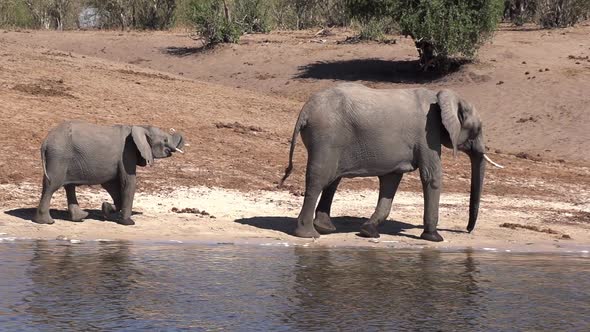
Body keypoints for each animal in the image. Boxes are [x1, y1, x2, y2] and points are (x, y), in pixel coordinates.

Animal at [33, 120, 185, 227]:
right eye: (165, 140)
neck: (140, 127)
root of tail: (45, 142)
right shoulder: (126, 153)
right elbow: (128, 182)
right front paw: (128, 223)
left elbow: (111, 185)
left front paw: (105, 208)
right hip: (59, 156)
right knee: (52, 185)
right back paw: (47, 222)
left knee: (66, 186)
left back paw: (81, 217)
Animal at [282, 82, 504, 243]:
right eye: (477, 129)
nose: (467, 230)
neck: (441, 97)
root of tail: (305, 110)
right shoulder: (428, 135)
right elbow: (431, 177)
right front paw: (434, 238)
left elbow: (391, 181)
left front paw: (368, 232)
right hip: (325, 138)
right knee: (319, 180)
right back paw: (309, 234)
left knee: (332, 180)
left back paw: (325, 228)